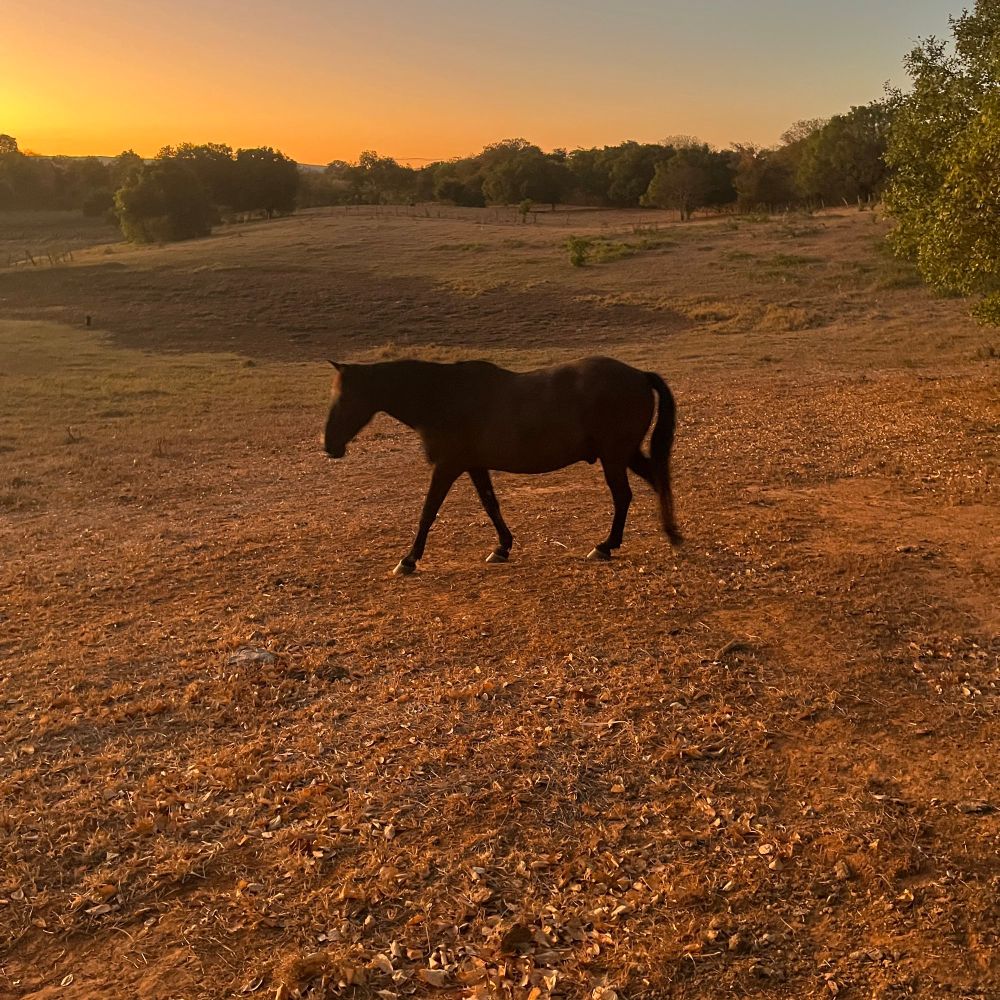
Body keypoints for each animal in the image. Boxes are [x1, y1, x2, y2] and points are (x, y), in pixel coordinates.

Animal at [322, 356, 682, 575]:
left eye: (345, 398)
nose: (329, 446)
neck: (443, 397)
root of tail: (638, 376)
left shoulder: (448, 465)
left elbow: (428, 510)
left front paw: (408, 560)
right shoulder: (473, 465)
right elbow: (490, 505)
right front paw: (502, 548)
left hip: (614, 457)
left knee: (624, 496)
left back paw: (606, 546)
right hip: (624, 454)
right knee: (655, 481)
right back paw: (671, 533)